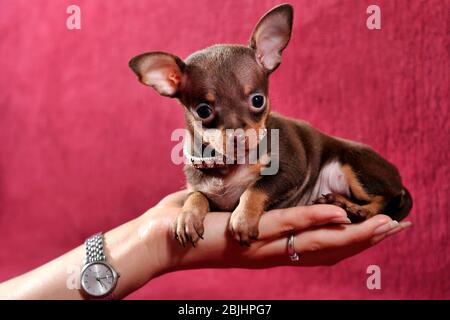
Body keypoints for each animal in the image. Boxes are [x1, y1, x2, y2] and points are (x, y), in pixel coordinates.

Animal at [128, 3, 414, 246]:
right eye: (203, 111)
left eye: (258, 100)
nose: (239, 137)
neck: (229, 167)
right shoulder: (201, 187)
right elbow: (196, 196)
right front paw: (187, 217)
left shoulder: (290, 168)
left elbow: (256, 188)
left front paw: (243, 218)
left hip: (355, 164)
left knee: (385, 198)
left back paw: (356, 208)